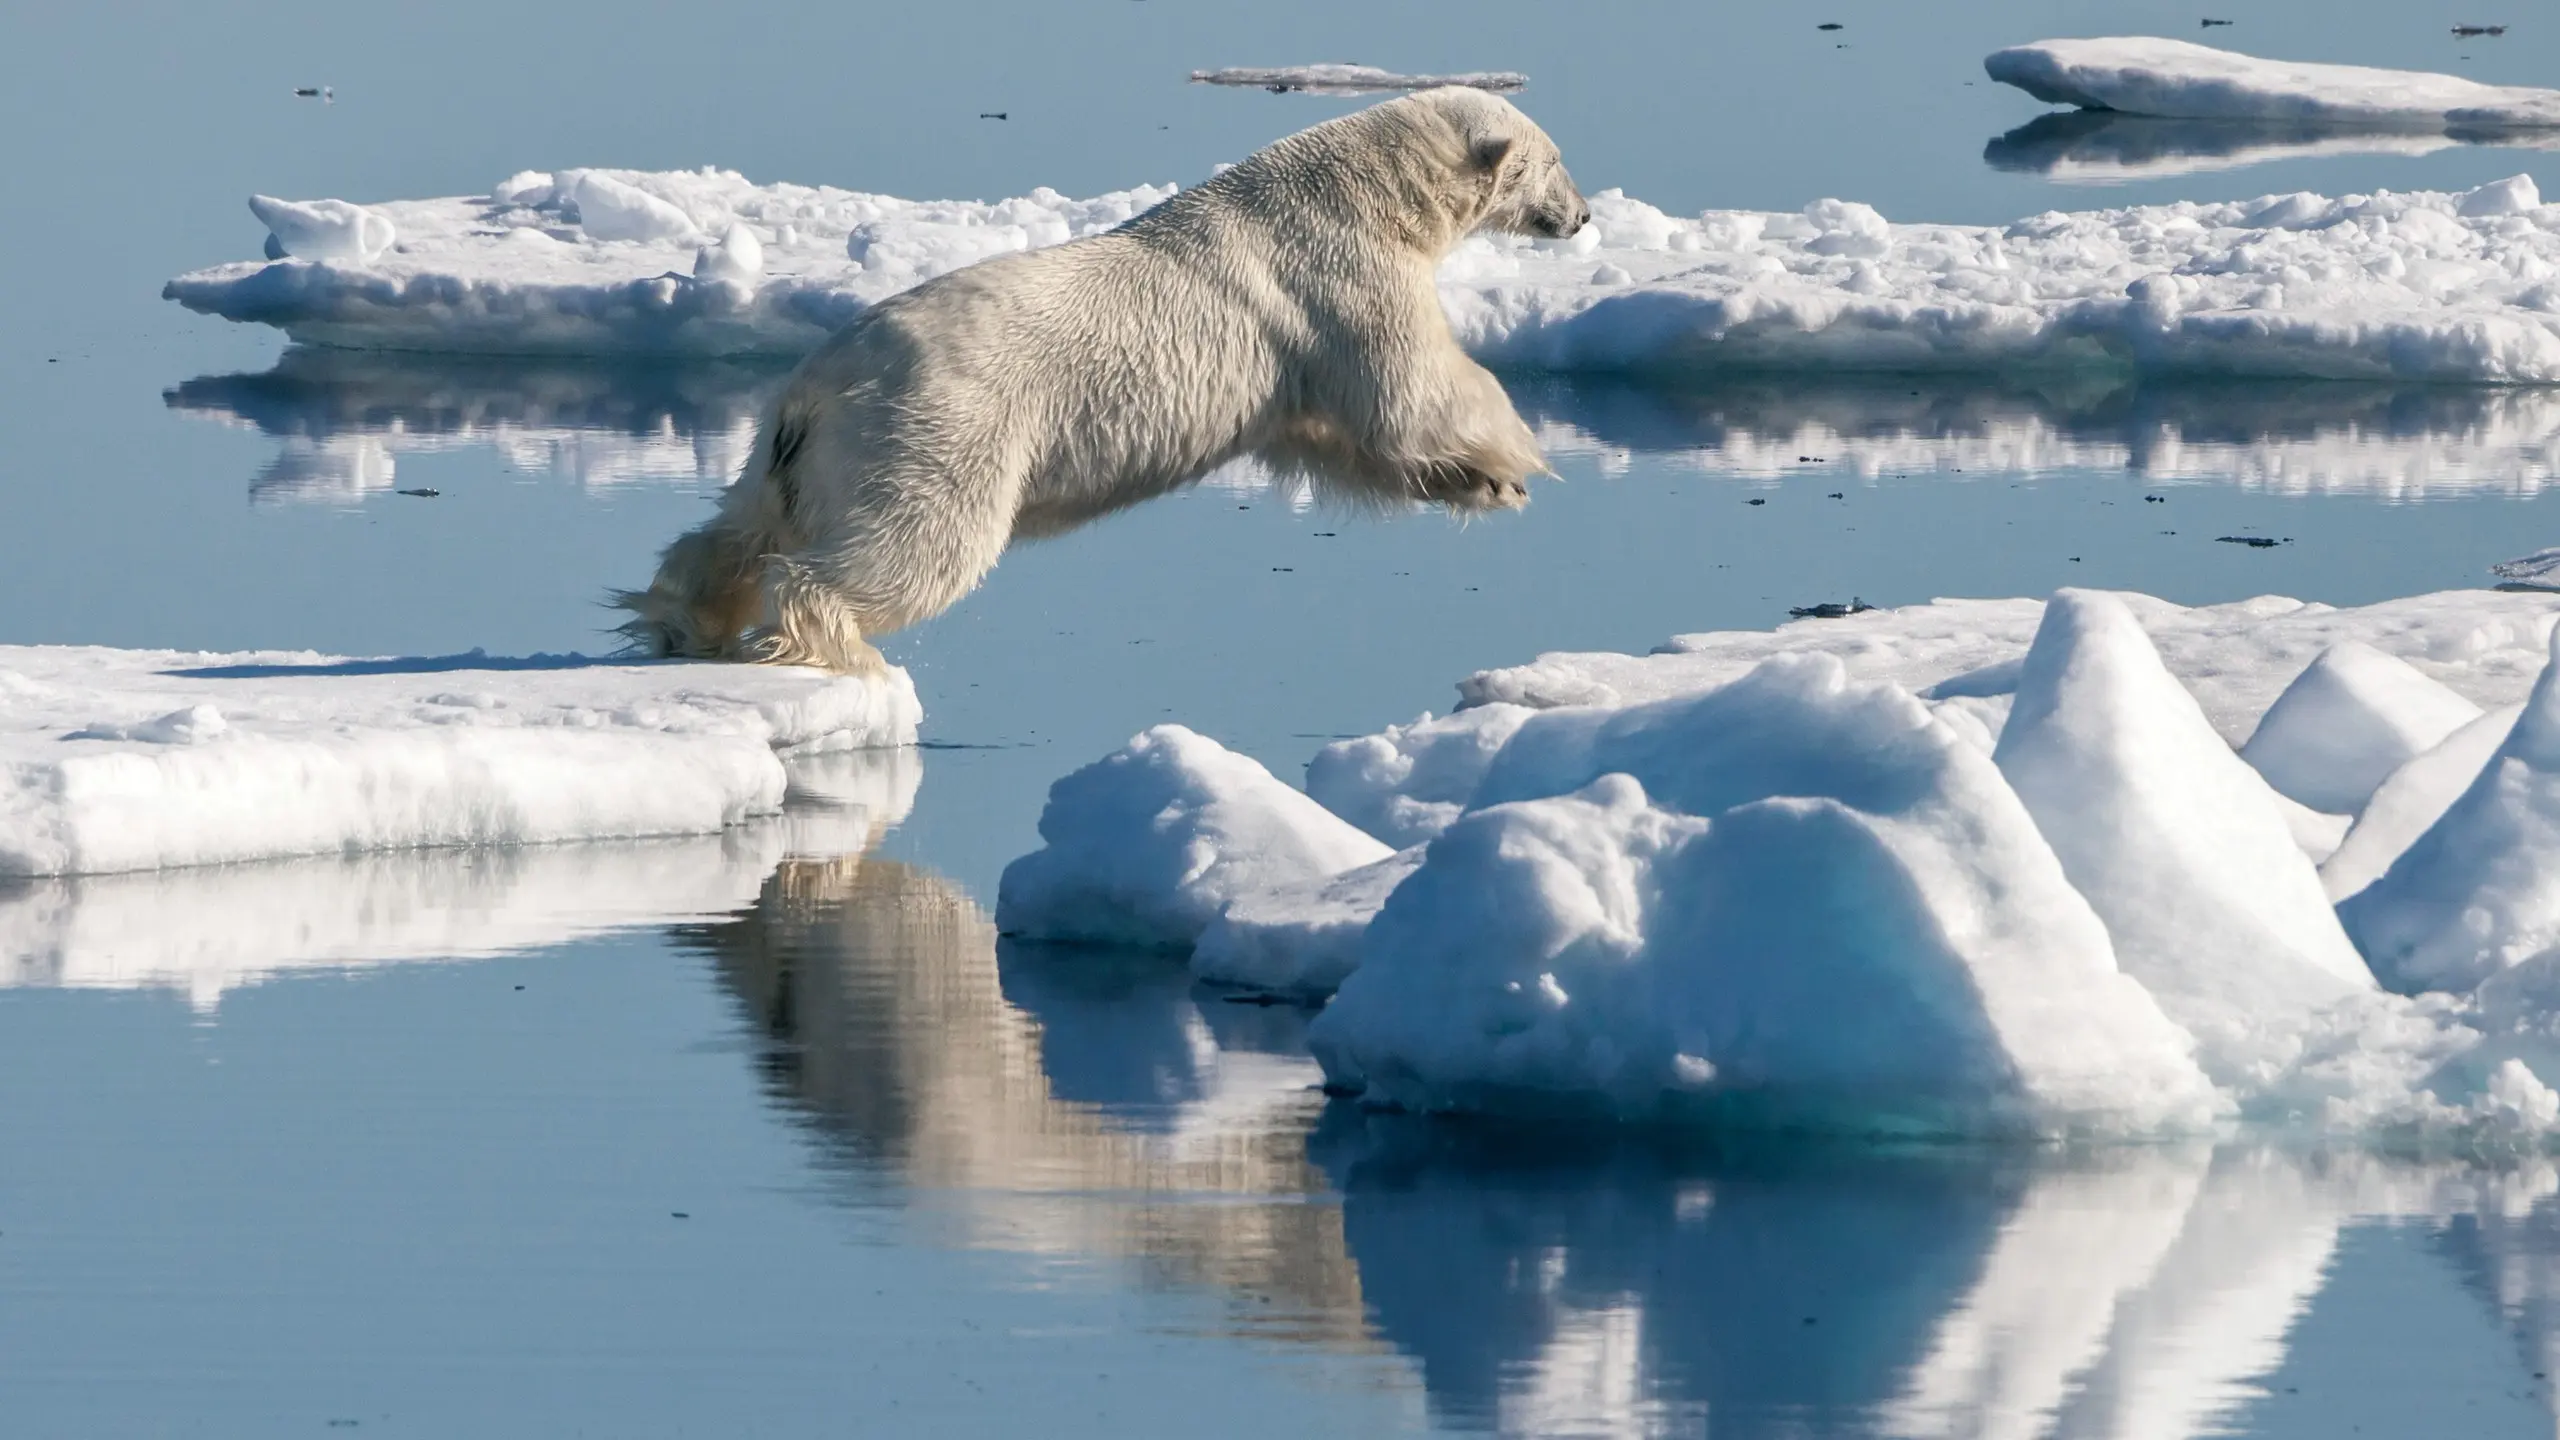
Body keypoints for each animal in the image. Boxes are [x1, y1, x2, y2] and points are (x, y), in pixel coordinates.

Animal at [615, 86, 1589, 673]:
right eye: (1556, 162)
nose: (1582, 217)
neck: (1358, 189)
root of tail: (811, 390)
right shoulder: (1336, 274)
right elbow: (1408, 390)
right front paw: (1517, 458)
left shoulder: (1293, 354)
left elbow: (1332, 439)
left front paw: (1482, 483)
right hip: (933, 425)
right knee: (907, 547)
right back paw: (842, 644)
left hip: (796, 448)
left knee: (741, 524)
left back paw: (679, 619)